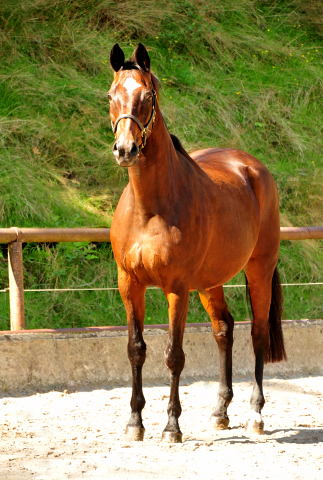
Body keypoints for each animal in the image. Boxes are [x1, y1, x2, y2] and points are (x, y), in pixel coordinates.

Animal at [108, 43, 286, 444]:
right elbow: (135, 349)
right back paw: (220, 412)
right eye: (111, 96)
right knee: (224, 330)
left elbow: (174, 354)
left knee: (257, 333)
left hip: (259, 269)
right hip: (209, 282)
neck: (150, 208)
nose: (125, 149)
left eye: (147, 96)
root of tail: (252, 167)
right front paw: (134, 423)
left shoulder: (177, 288)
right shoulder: (130, 284)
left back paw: (255, 415)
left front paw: (171, 427)